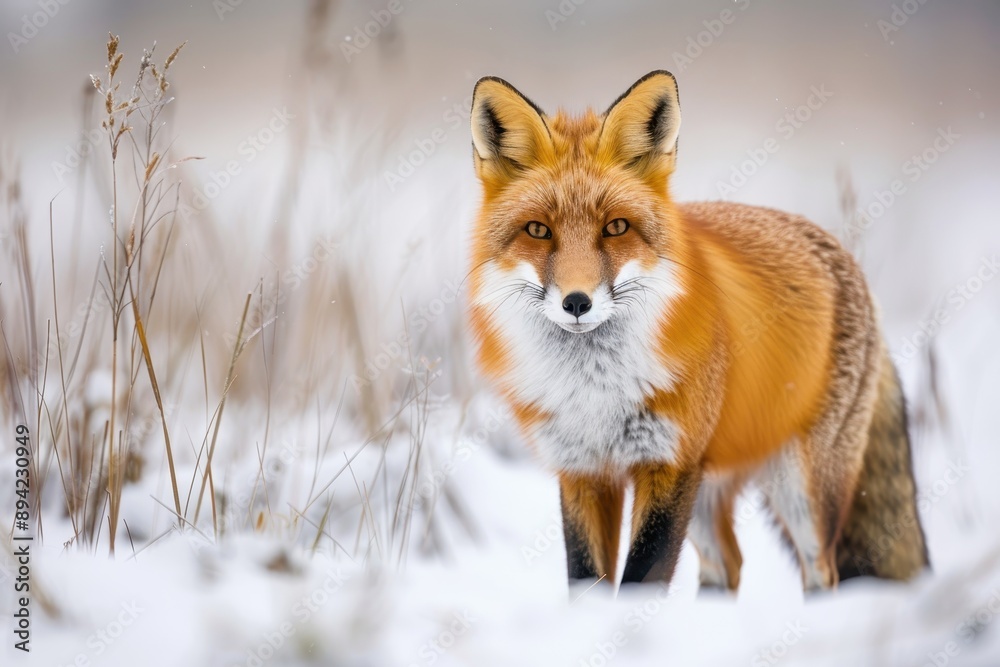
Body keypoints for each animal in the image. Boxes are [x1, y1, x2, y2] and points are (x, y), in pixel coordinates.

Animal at [466, 70, 929, 593]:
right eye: (539, 231)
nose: (577, 302)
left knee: (820, 570)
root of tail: (838, 251)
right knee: (727, 562)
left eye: (616, 227)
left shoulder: (669, 465)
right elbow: (586, 581)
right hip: (708, 492)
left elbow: (640, 580)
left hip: (799, 487)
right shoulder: (584, 470)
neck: (596, 394)